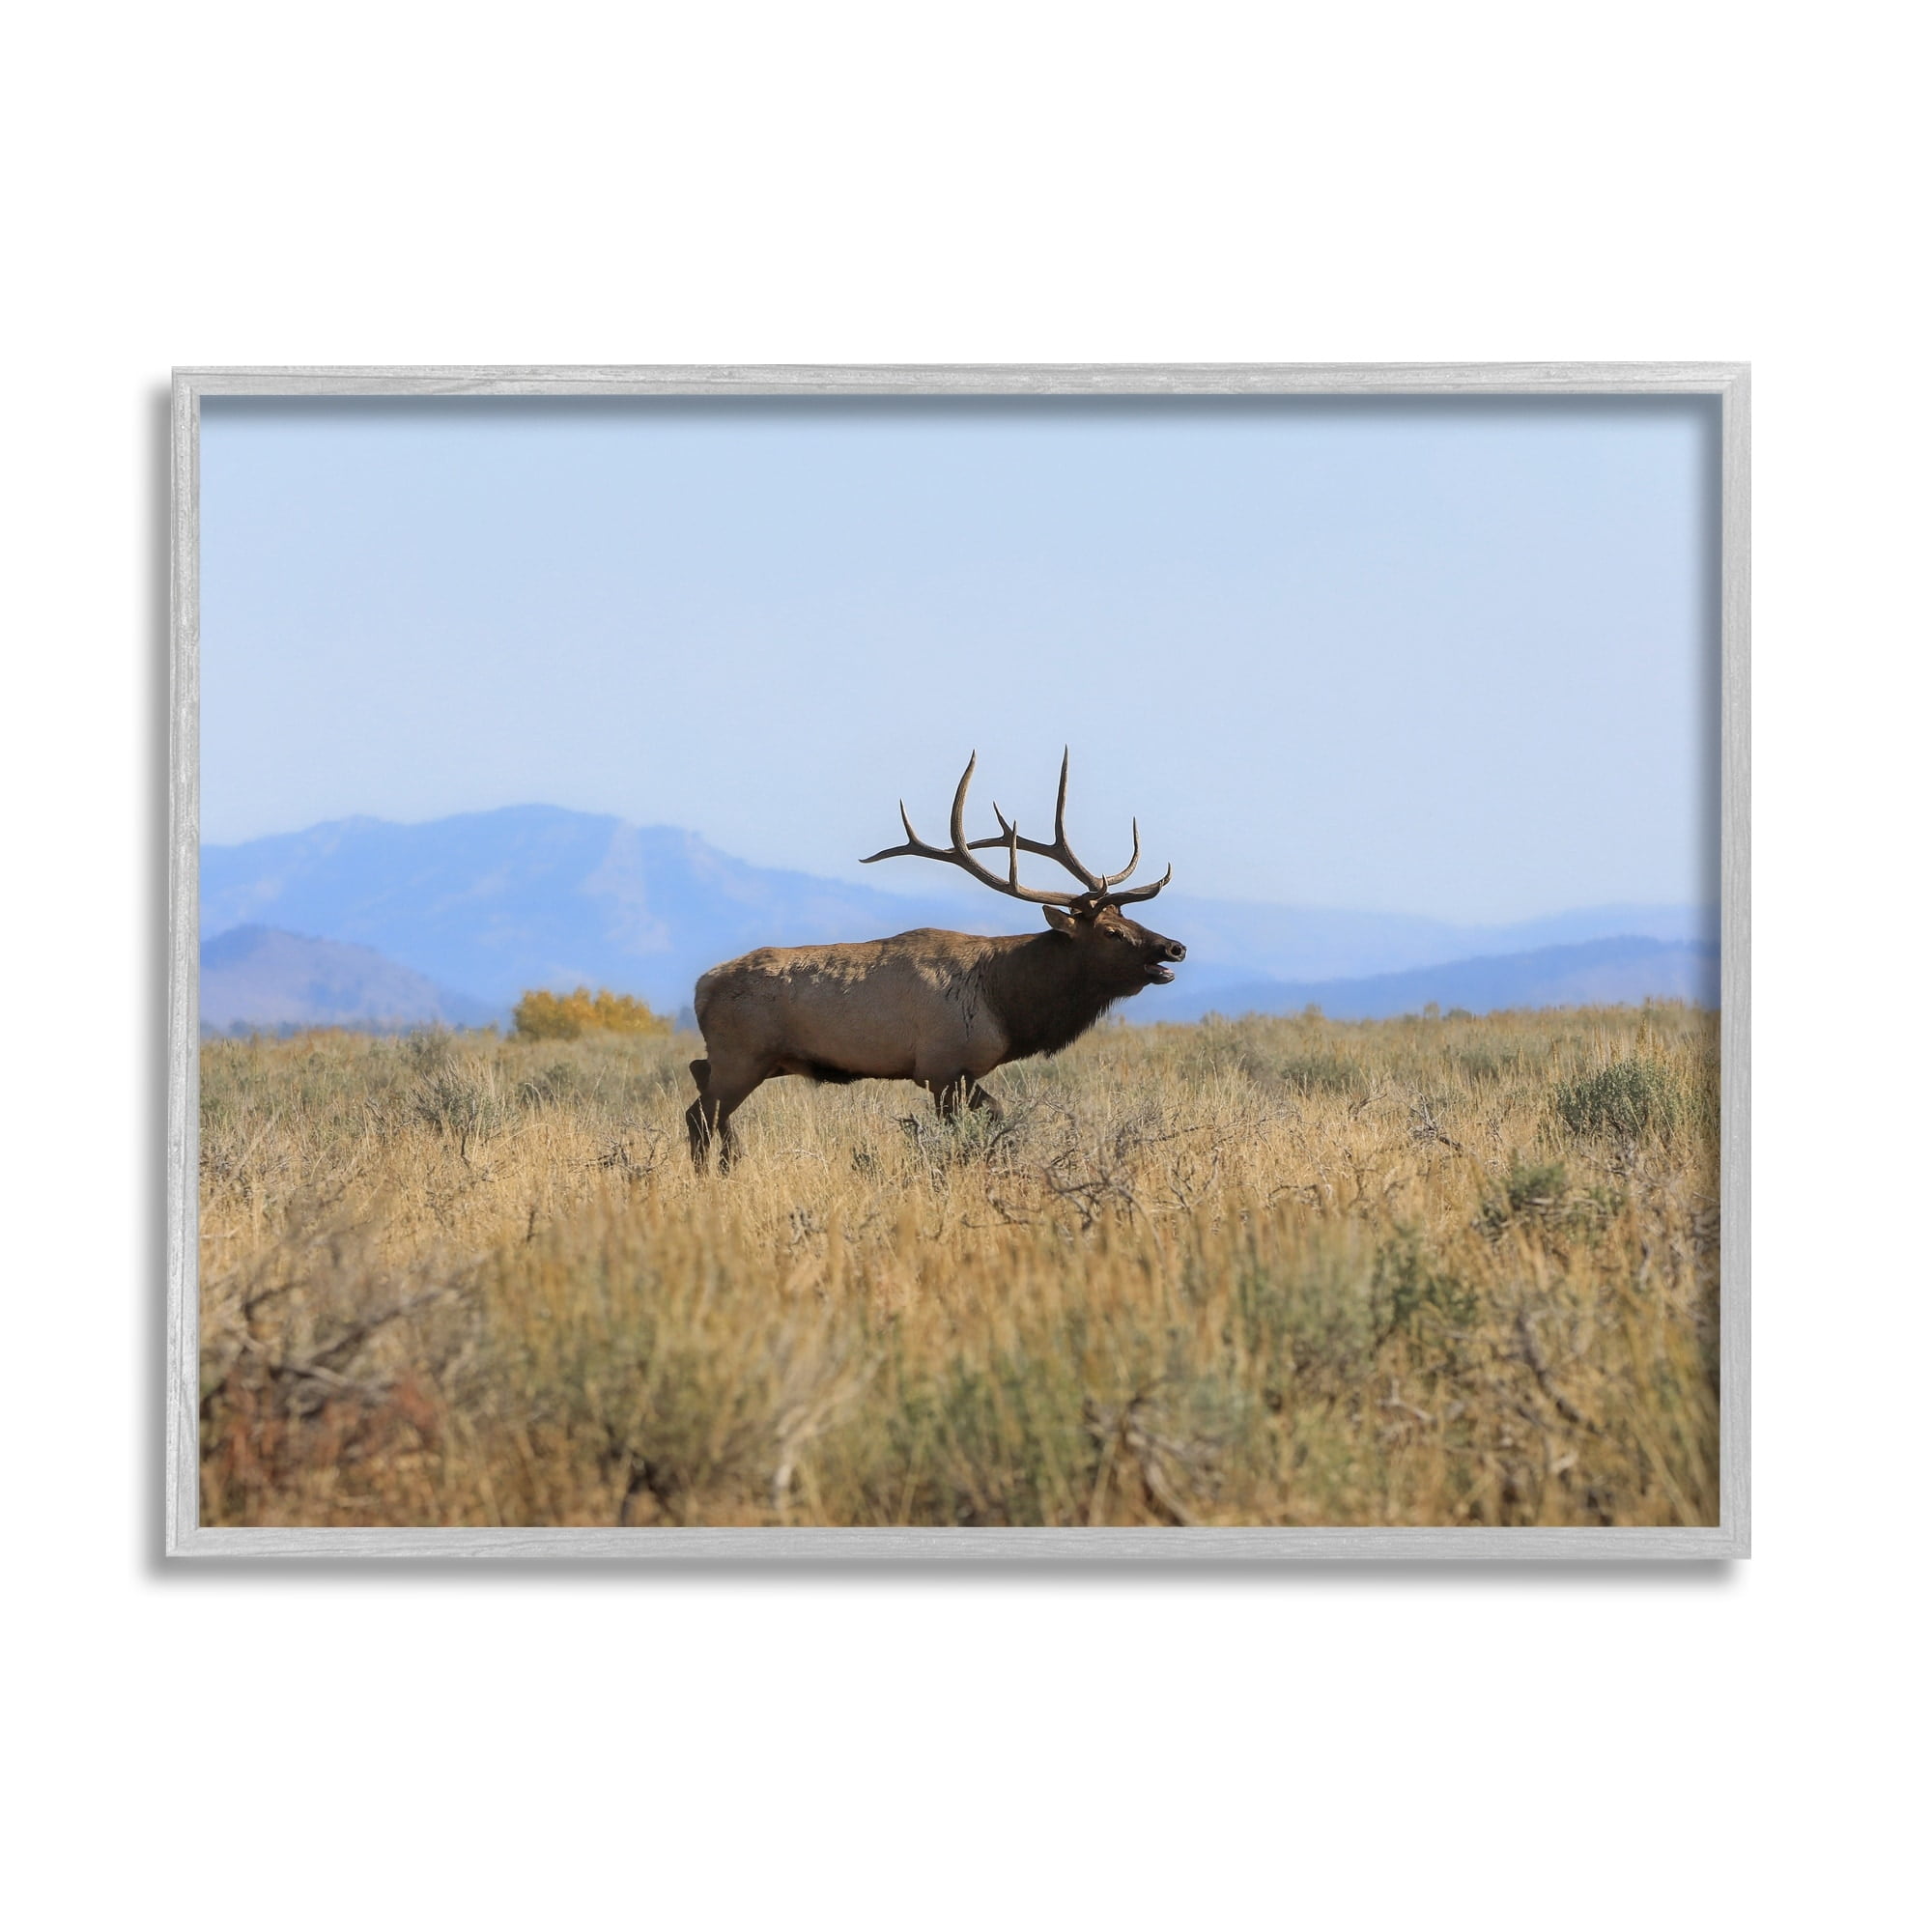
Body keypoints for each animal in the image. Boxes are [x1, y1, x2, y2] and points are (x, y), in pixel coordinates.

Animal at [684, 751, 1185, 1170]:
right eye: (1111, 932)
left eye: (1130, 918)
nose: (1173, 947)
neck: (1008, 1005)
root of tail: (701, 986)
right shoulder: (940, 1067)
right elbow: (983, 1123)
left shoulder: (955, 1072)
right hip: (743, 1054)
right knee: (699, 1115)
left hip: (760, 1061)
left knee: (700, 1083)